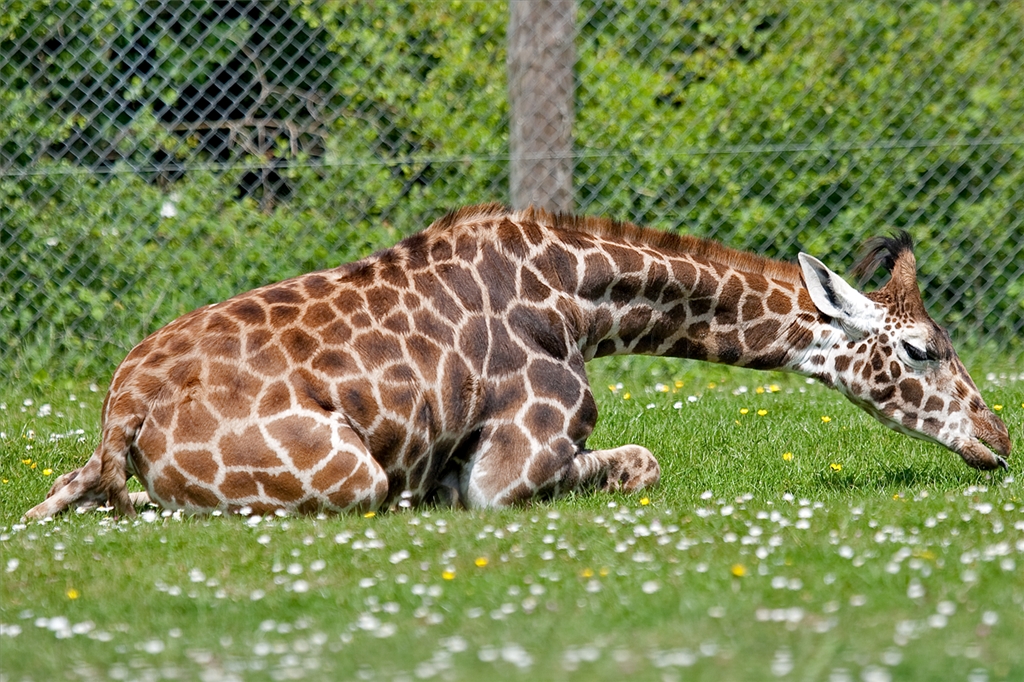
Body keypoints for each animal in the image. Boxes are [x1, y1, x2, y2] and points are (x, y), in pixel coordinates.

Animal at [25, 204, 1011, 519]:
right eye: (923, 348)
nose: (999, 437)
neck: (581, 300)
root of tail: (124, 409)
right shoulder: (508, 470)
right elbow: (640, 462)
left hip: (79, 474)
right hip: (346, 475)